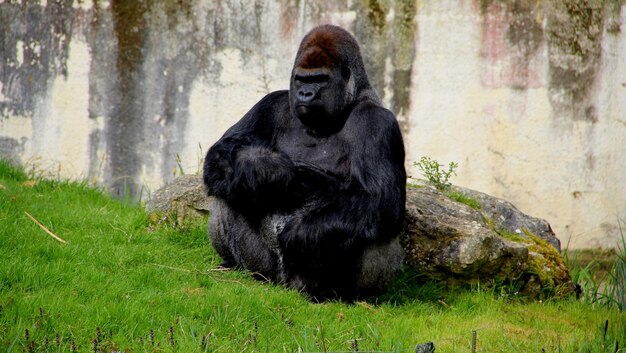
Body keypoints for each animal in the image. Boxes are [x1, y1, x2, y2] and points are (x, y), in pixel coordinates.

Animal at [201, 24, 404, 300]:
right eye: (302, 80)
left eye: (319, 79)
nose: (306, 94)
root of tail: (288, 286)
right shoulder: (272, 103)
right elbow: (223, 151)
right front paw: (265, 170)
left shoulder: (378, 123)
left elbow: (380, 199)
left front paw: (301, 234)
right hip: (269, 272)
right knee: (229, 186)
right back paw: (235, 264)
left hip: (311, 283)